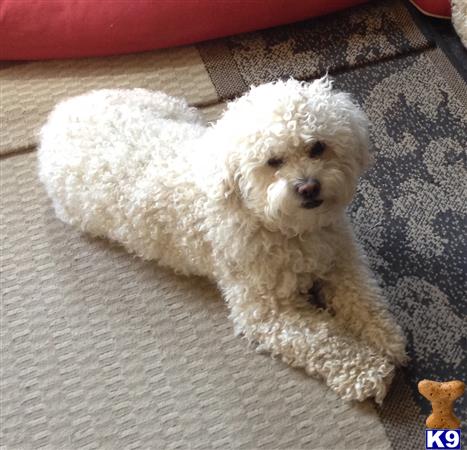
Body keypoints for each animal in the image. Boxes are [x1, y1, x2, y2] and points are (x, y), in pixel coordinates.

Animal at [38, 78, 408, 404]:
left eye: (317, 147)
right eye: (273, 161)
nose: (308, 187)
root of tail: (59, 113)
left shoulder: (342, 258)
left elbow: (363, 299)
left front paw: (385, 337)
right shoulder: (266, 312)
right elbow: (325, 340)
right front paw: (368, 371)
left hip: (171, 107)